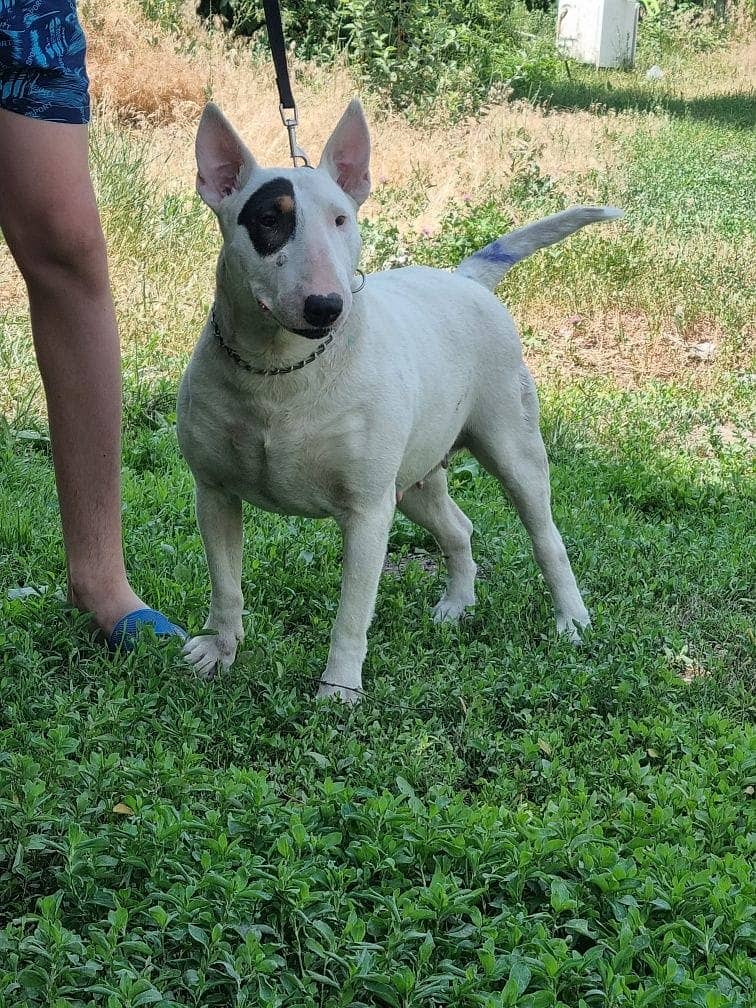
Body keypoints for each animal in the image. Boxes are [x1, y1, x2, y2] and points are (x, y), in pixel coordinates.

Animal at [177, 100, 620, 701]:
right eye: (270, 219)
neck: (280, 373)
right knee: (459, 528)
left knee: (546, 537)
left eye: (341, 220)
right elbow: (226, 584)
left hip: (511, 447)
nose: (326, 306)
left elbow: (351, 612)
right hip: (414, 478)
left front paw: (339, 689)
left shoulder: (367, 511)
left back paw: (571, 620)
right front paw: (219, 650)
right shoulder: (214, 492)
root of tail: (467, 279)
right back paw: (458, 604)